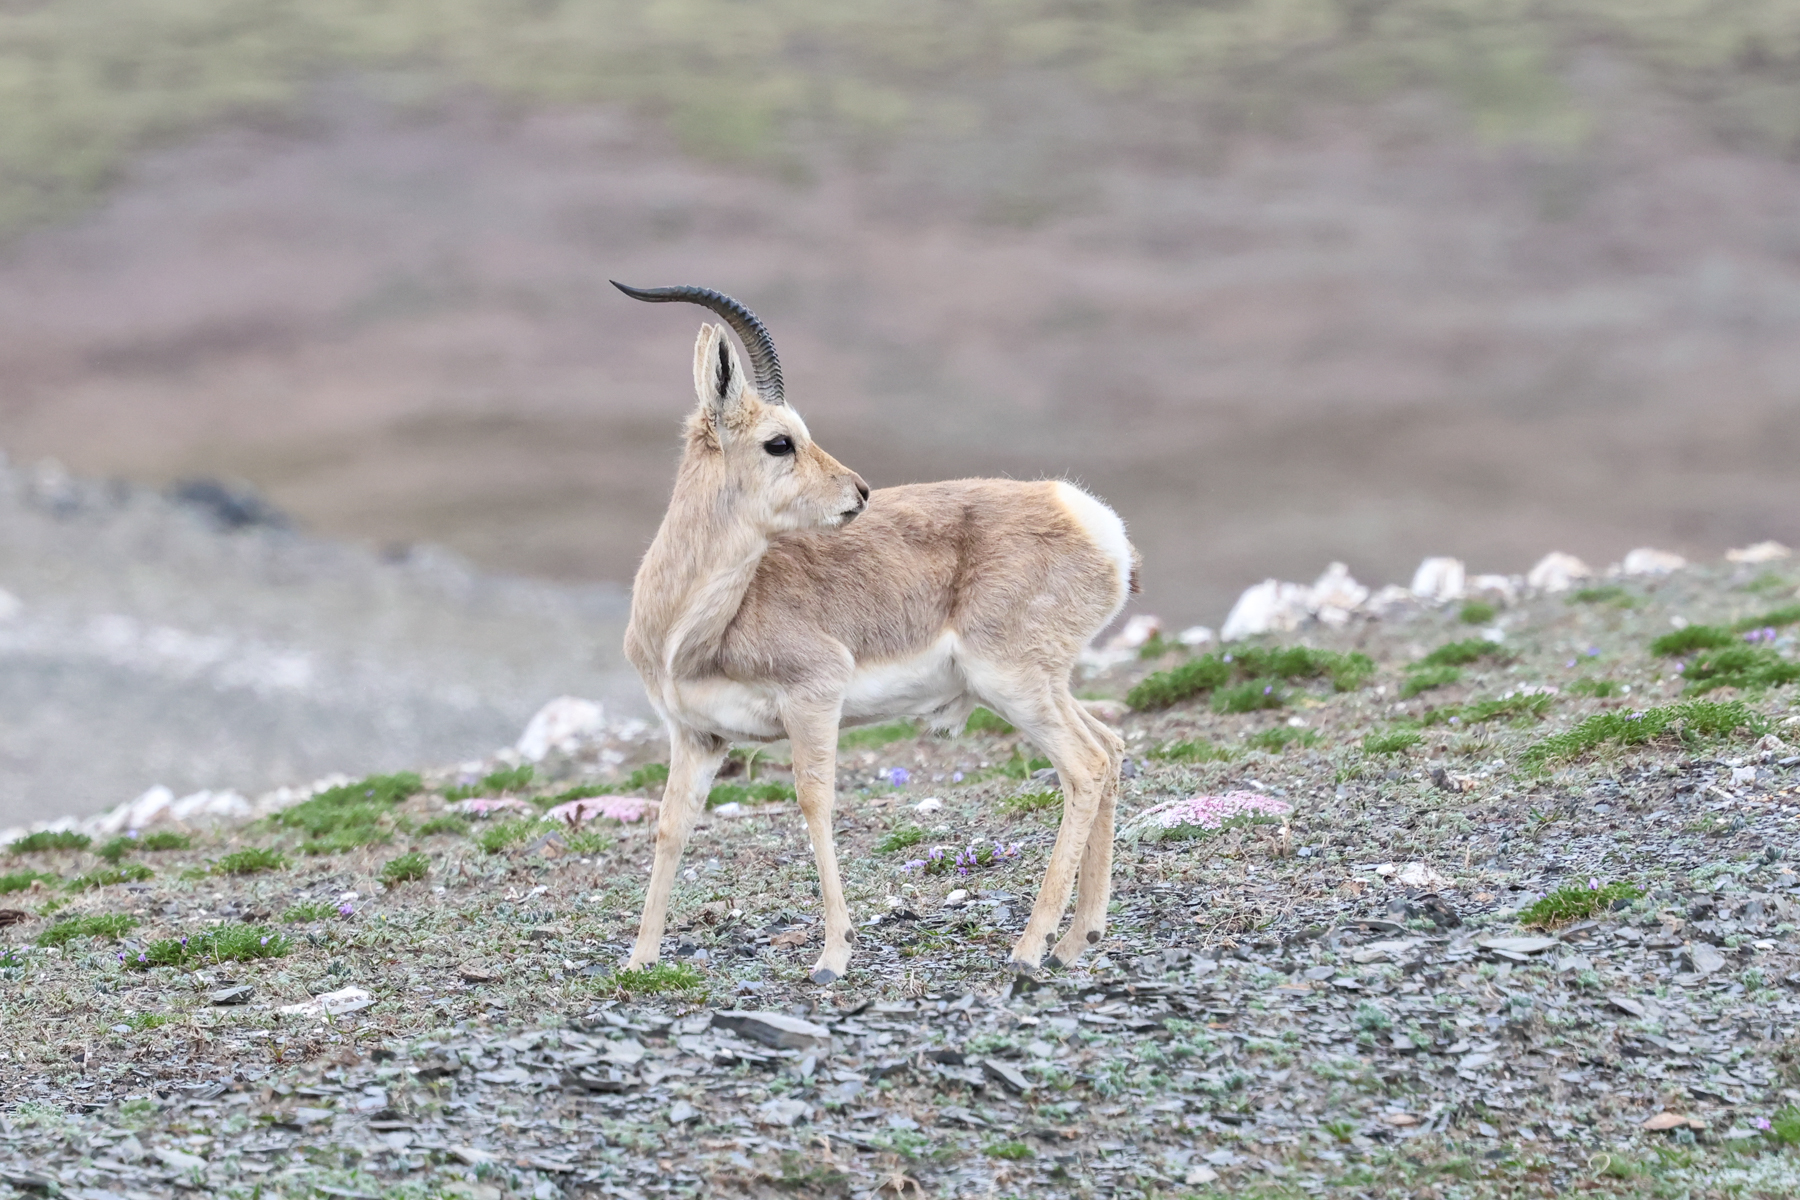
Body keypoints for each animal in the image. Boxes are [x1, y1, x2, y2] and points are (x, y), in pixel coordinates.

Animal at [614, 282, 1138, 983]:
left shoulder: (814, 698)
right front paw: (640, 959)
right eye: (780, 442)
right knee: (1110, 746)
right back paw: (1079, 938)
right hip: (1042, 685)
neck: (690, 625)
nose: (859, 493)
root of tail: (1090, 519)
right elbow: (672, 826)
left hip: (1013, 685)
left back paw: (1031, 948)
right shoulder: (697, 736)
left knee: (1085, 766)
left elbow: (815, 803)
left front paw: (833, 955)